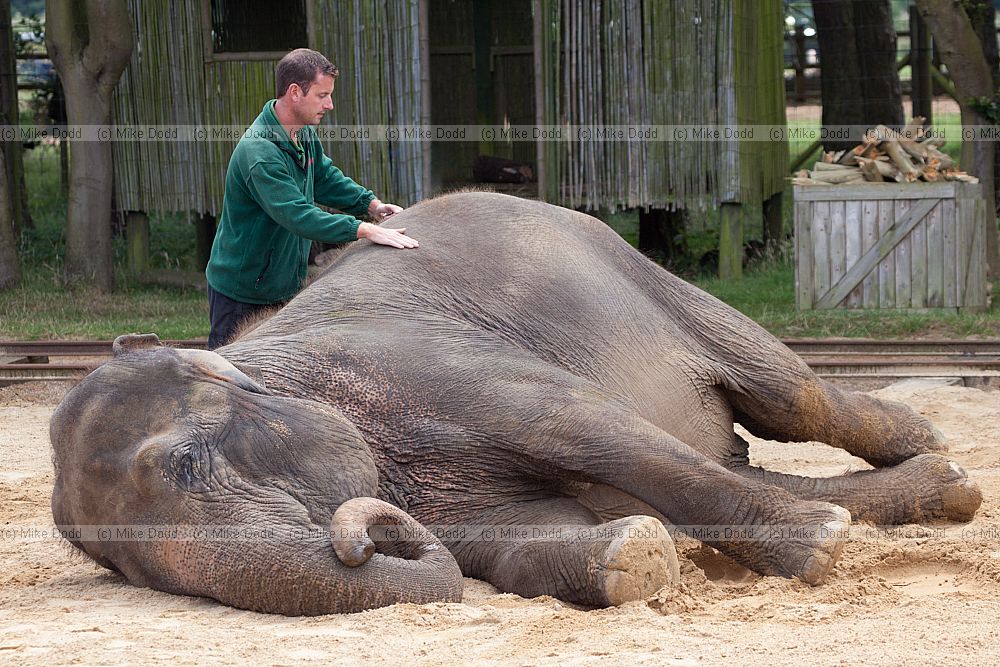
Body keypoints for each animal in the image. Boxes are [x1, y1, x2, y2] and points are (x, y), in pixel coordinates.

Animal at [50, 192, 982, 616]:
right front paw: (634, 556)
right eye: (123, 569)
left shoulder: (439, 365)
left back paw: (928, 456)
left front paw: (819, 546)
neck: (265, 359)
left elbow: (587, 428)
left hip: (642, 274)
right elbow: (513, 541)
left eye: (188, 463)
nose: (363, 533)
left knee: (788, 394)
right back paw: (930, 489)